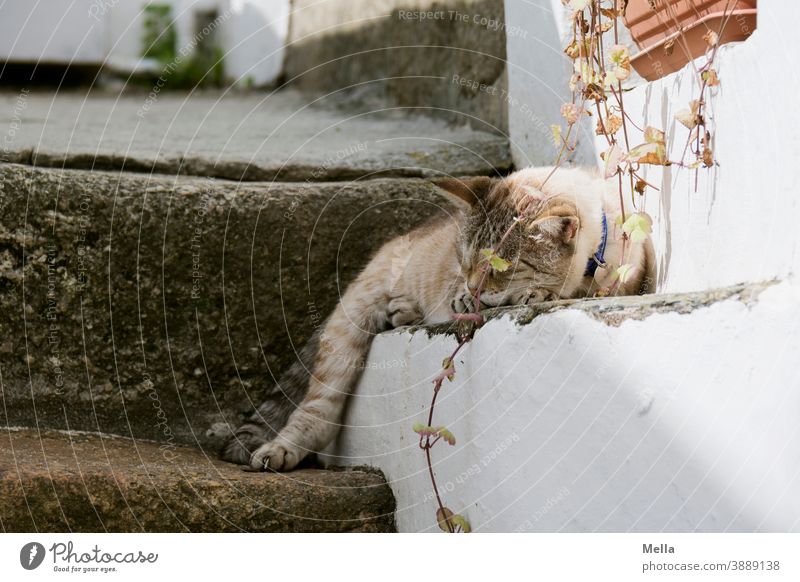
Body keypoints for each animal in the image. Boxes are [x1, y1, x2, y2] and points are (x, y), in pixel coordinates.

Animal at [220, 167, 656, 472]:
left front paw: (540, 292)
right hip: (353, 317)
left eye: (498, 268)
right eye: (464, 260)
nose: (472, 286)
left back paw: (402, 311)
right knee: (317, 412)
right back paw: (280, 450)